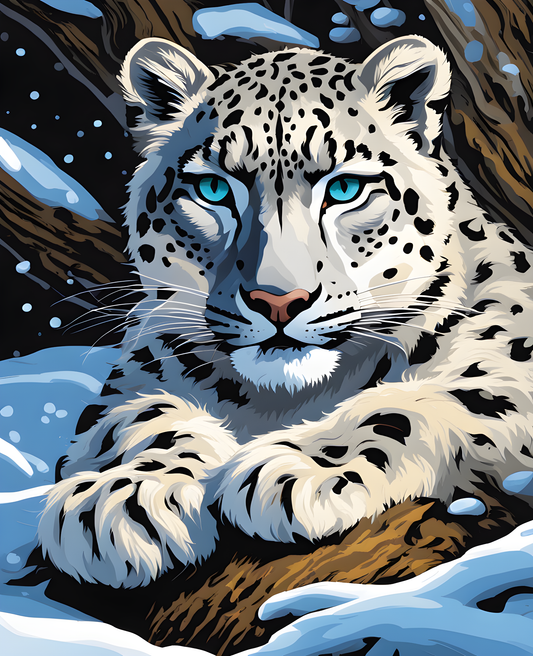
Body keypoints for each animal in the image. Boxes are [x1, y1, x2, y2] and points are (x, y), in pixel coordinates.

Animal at [37, 35, 533, 588]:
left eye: (344, 188)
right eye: (213, 189)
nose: (278, 300)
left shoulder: (506, 365)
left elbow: (413, 403)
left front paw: (299, 470)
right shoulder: (136, 376)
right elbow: (142, 415)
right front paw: (121, 501)